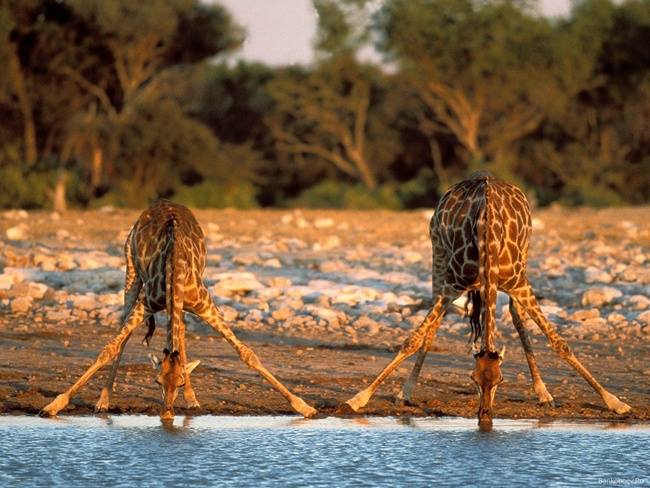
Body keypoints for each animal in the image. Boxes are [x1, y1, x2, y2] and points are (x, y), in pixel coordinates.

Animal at [40, 200, 317, 419]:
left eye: (180, 382)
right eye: (156, 381)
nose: (166, 414)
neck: (175, 267)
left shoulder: (205, 304)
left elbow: (247, 354)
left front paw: (304, 407)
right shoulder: (147, 303)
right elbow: (109, 348)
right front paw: (54, 406)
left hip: (178, 301)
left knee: (181, 334)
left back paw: (193, 400)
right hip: (131, 271)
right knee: (125, 329)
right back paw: (104, 401)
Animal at [342, 172, 631, 424]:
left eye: (501, 380)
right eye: (473, 378)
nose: (484, 415)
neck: (488, 237)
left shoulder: (519, 284)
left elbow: (560, 344)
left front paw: (616, 402)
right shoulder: (451, 285)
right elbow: (411, 340)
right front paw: (358, 399)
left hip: (524, 259)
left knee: (516, 316)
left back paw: (543, 393)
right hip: (438, 254)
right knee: (433, 326)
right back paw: (406, 391)